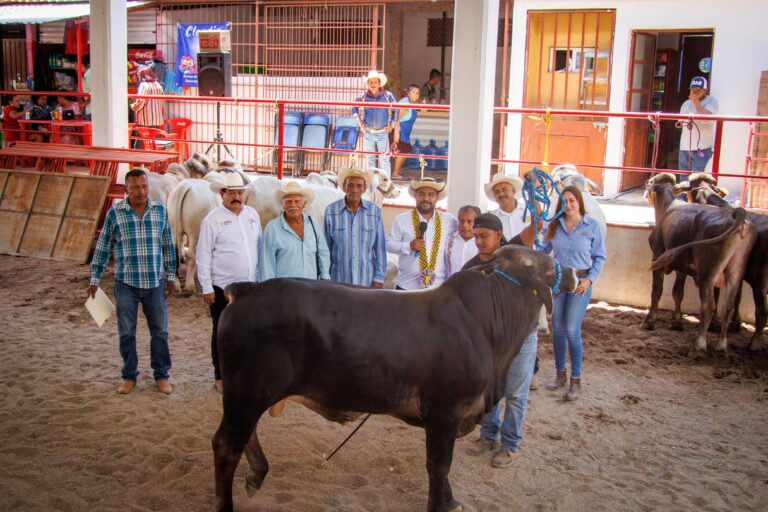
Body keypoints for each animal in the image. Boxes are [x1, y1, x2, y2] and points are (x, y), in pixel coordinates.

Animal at [211, 245, 578, 512]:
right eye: (547, 263)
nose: (575, 273)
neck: (485, 324)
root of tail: (247, 289)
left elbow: (442, 468)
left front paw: (451, 502)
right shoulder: (445, 411)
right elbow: (438, 465)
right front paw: (440, 505)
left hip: (249, 394)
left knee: (241, 437)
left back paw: (256, 476)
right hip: (247, 392)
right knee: (226, 447)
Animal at [642, 173, 757, 355]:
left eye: (649, 183)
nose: (645, 193)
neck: (668, 208)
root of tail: (738, 216)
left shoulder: (657, 256)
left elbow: (657, 291)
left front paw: (649, 321)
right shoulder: (681, 267)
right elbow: (678, 292)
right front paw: (676, 322)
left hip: (707, 271)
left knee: (709, 305)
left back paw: (699, 345)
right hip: (736, 269)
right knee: (728, 306)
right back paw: (721, 345)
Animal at [676, 173, 768, 350]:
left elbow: (717, 296)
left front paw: (715, 324)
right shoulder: (737, 273)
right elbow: (736, 297)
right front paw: (735, 323)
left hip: (758, 279)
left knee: (761, 311)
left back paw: (753, 345)